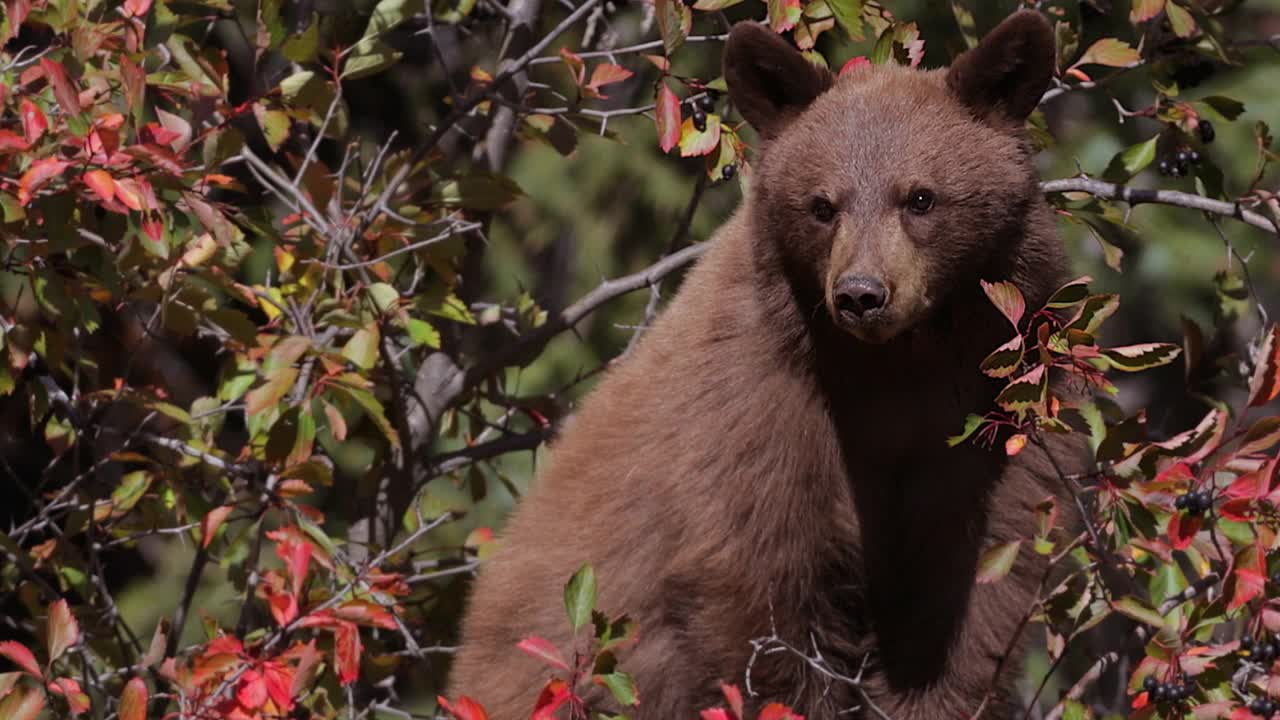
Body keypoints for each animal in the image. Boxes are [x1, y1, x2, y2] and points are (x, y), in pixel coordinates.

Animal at [445, 9, 1085, 712]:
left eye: (921, 198)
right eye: (822, 205)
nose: (861, 295)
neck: (893, 369)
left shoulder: (993, 419)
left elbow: (972, 598)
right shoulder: (756, 410)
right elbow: (759, 599)